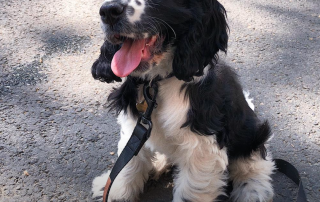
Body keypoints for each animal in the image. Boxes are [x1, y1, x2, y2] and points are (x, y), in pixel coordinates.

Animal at [91, 0, 274, 201]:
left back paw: (252, 191)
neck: (158, 82)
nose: (108, 11)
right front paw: (114, 192)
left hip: (253, 136)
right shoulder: (134, 124)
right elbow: (130, 161)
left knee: (255, 167)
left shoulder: (202, 147)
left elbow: (190, 190)